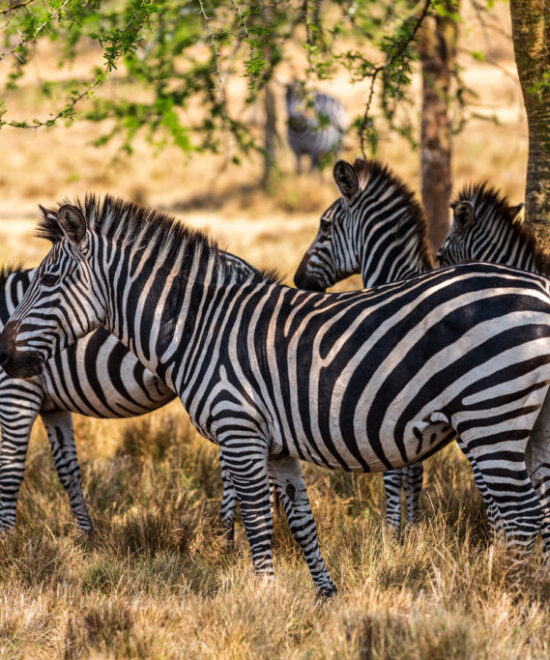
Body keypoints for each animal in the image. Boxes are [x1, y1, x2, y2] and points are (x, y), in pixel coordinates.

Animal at [0, 232, 265, 533]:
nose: (3, 355)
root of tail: (251, 271)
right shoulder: (53, 407)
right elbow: (69, 471)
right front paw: (87, 534)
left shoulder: (16, 392)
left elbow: (10, 472)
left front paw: (8, 539)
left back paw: (225, 534)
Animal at [293, 159, 500, 531]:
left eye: (325, 226)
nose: (298, 279)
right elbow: (413, 470)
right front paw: (411, 529)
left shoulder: (389, 404)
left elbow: (394, 472)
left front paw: (392, 531)